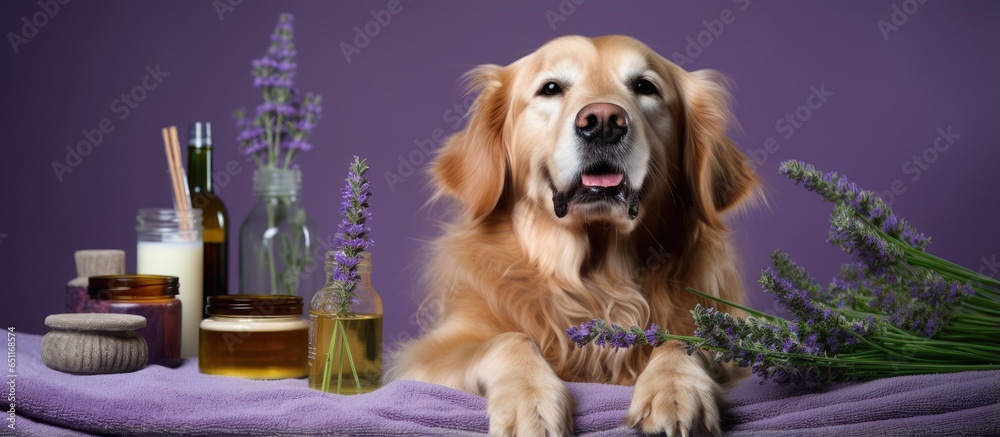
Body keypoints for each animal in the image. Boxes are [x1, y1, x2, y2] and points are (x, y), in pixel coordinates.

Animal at [390, 35, 756, 436]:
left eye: (645, 86)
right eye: (550, 88)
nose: (603, 121)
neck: (596, 280)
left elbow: (685, 343)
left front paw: (675, 391)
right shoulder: (428, 353)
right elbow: (509, 338)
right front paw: (530, 401)